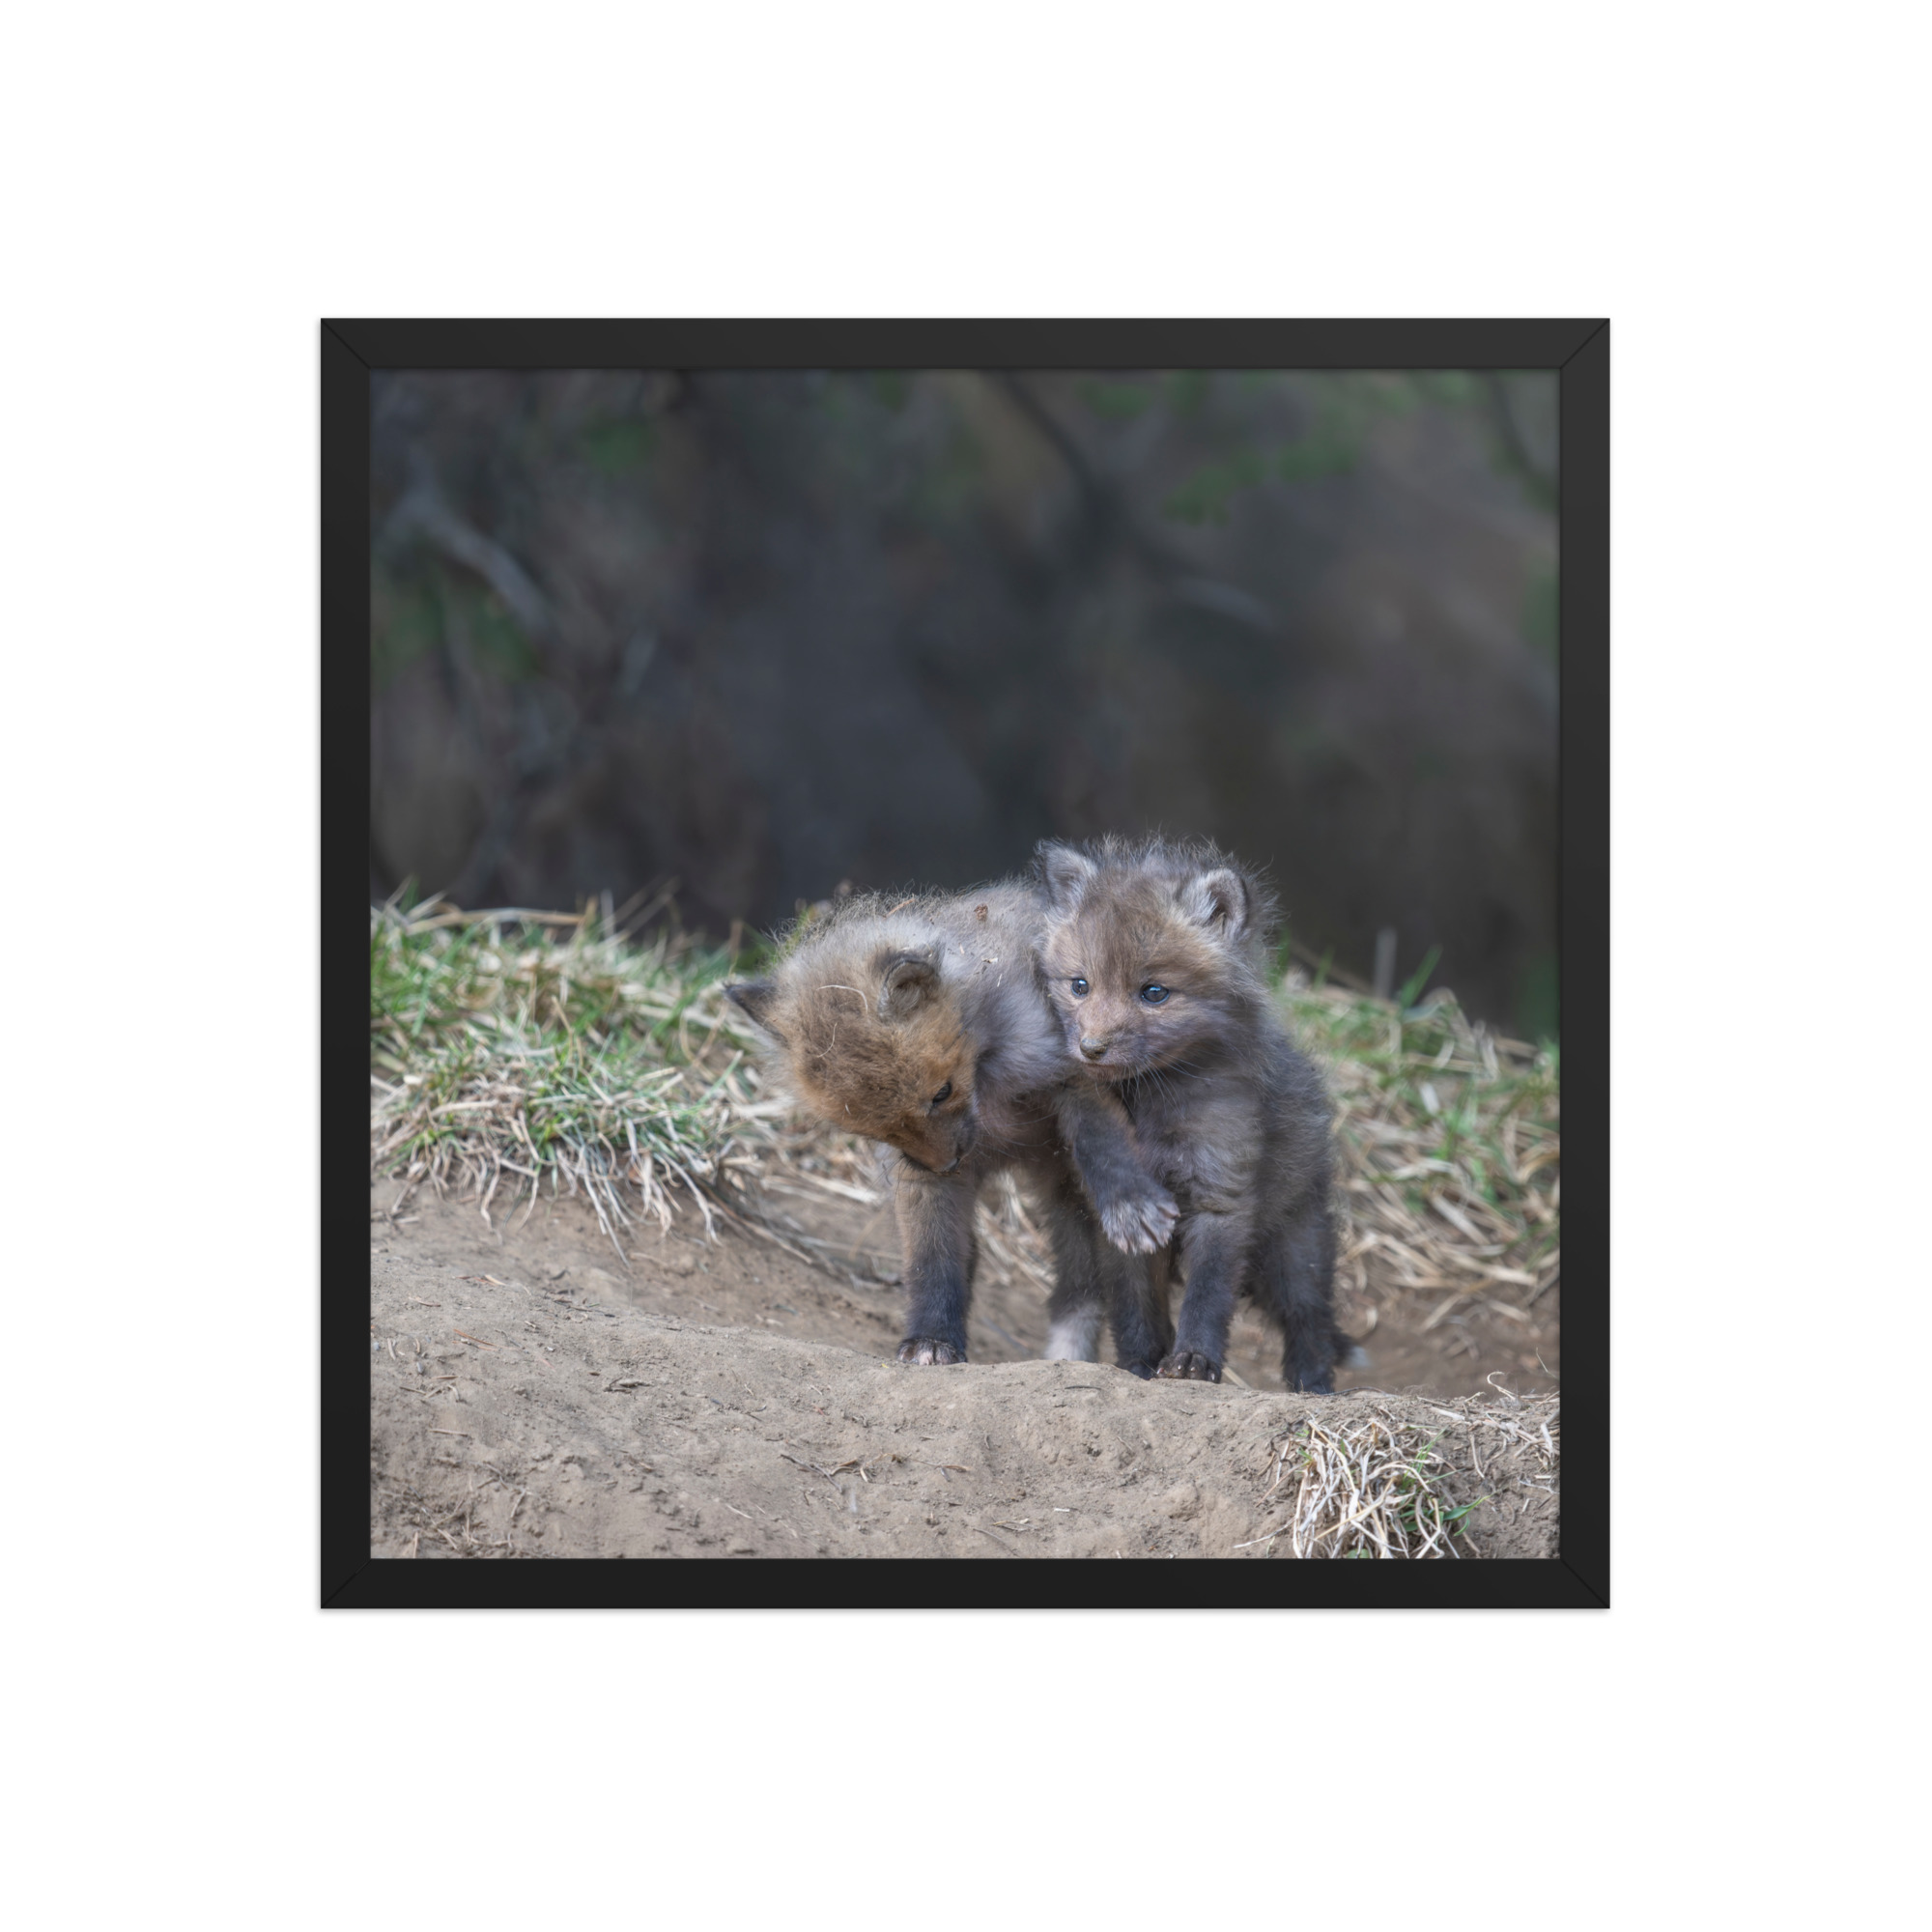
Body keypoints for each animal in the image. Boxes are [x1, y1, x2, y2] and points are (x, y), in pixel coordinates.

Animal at [723, 882, 1178, 1369]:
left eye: (941, 1093)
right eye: (875, 1129)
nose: (946, 1164)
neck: (988, 1084)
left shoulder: (1074, 1071)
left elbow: (1102, 1143)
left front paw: (1129, 1203)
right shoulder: (917, 1175)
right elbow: (932, 1260)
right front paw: (932, 1338)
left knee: (1126, 1291)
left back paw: (1142, 1363)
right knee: (1075, 1287)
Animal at [1034, 835, 1355, 1391]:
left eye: (1154, 992)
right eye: (1080, 986)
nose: (1090, 1049)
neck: (1151, 1106)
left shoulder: (1221, 1195)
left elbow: (1207, 1296)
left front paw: (1193, 1362)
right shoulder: (1120, 1217)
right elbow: (1134, 1306)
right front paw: (1139, 1365)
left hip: (1296, 1246)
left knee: (1309, 1317)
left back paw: (1312, 1387)